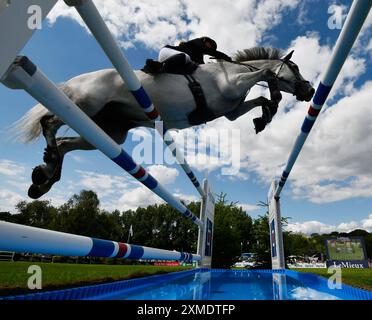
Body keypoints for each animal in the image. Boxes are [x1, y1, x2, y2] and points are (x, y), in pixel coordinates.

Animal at [12, 47, 314, 199]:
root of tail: (77, 80)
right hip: (87, 104)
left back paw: (44, 178)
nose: (310, 91)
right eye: (296, 68)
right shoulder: (231, 85)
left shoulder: (231, 110)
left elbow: (260, 100)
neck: (232, 70)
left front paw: (264, 118)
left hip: (110, 132)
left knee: (65, 143)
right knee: (49, 123)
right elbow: (267, 75)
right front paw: (272, 100)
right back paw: (47, 167)